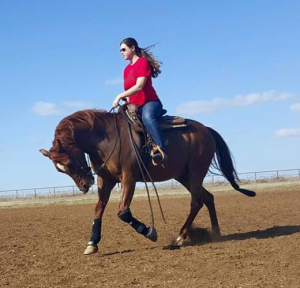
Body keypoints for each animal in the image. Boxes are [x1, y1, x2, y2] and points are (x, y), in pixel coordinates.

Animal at [39, 108, 255, 254]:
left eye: (69, 162)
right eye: (59, 169)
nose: (84, 185)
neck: (106, 138)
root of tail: (207, 130)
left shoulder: (129, 177)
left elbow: (123, 211)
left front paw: (150, 232)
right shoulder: (105, 179)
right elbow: (98, 209)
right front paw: (92, 243)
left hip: (195, 172)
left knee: (197, 202)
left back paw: (181, 237)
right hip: (183, 175)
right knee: (208, 198)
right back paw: (215, 232)